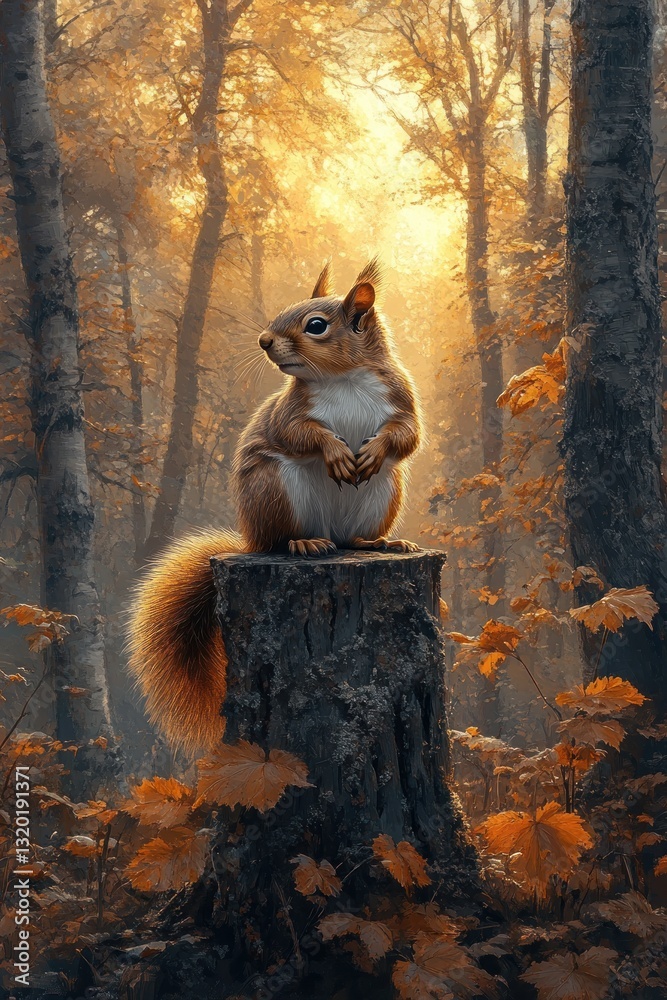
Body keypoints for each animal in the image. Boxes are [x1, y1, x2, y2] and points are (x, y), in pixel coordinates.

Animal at [127, 259, 423, 753]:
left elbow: (407, 435)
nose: (265, 341)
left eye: (316, 325)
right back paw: (304, 544)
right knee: (280, 539)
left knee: (354, 535)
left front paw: (374, 450)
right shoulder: (290, 411)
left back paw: (379, 543)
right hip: (274, 489)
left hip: (385, 492)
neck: (343, 378)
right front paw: (335, 452)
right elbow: (301, 434)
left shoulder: (402, 398)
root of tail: (250, 539)